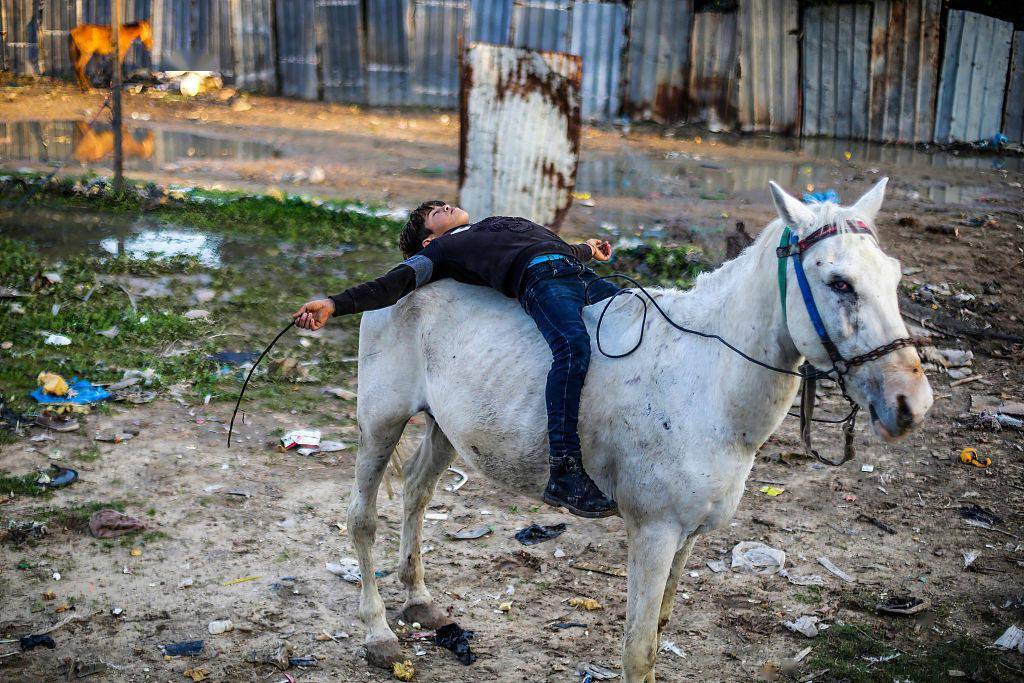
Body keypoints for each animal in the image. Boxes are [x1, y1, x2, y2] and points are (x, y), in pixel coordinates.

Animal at [344, 179, 929, 679]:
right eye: (838, 283)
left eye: (894, 276)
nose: (912, 402)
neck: (706, 381)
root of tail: (409, 281)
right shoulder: (654, 531)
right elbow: (639, 650)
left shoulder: (689, 533)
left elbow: (661, 628)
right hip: (381, 420)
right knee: (363, 519)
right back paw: (378, 635)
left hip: (446, 428)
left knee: (417, 492)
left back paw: (420, 601)